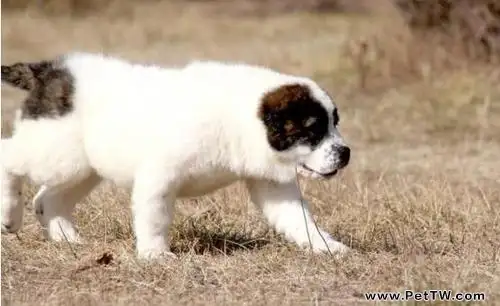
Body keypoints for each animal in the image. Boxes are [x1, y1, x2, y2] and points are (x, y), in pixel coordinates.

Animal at [0, 53, 352, 260]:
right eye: (312, 130)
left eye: (335, 122)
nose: (345, 153)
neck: (241, 118)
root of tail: (50, 70)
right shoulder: (160, 175)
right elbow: (155, 217)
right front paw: (156, 255)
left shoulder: (270, 181)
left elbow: (297, 217)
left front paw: (325, 245)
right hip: (55, 149)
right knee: (8, 157)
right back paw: (10, 215)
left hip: (81, 166)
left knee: (48, 200)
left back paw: (67, 239)